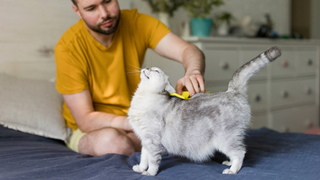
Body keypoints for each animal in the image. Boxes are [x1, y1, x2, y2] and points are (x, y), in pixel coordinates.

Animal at [129, 46, 282, 176]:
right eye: (151, 68)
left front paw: (150, 173)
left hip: (225, 139)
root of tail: (232, 91)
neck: (141, 98)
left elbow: (153, 161)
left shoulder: (153, 141)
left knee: (240, 153)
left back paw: (232, 170)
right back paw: (229, 162)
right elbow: (144, 158)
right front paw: (141, 168)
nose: (146, 67)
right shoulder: (145, 141)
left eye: (156, 71)